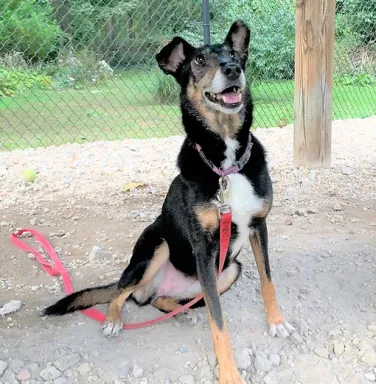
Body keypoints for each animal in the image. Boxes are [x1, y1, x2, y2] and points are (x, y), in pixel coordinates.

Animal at [43, 21, 294, 384]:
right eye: (200, 60)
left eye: (234, 56)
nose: (233, 70)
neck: (226, 163)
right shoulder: (204, 248)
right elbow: (219, 322)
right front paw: (230, 373)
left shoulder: (259, 227)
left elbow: (268, 283)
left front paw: (276, 322)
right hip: (156, 247)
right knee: (123, 293)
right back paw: (114, 320)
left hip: (229, 270)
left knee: (161, 300)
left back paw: (179, 311)